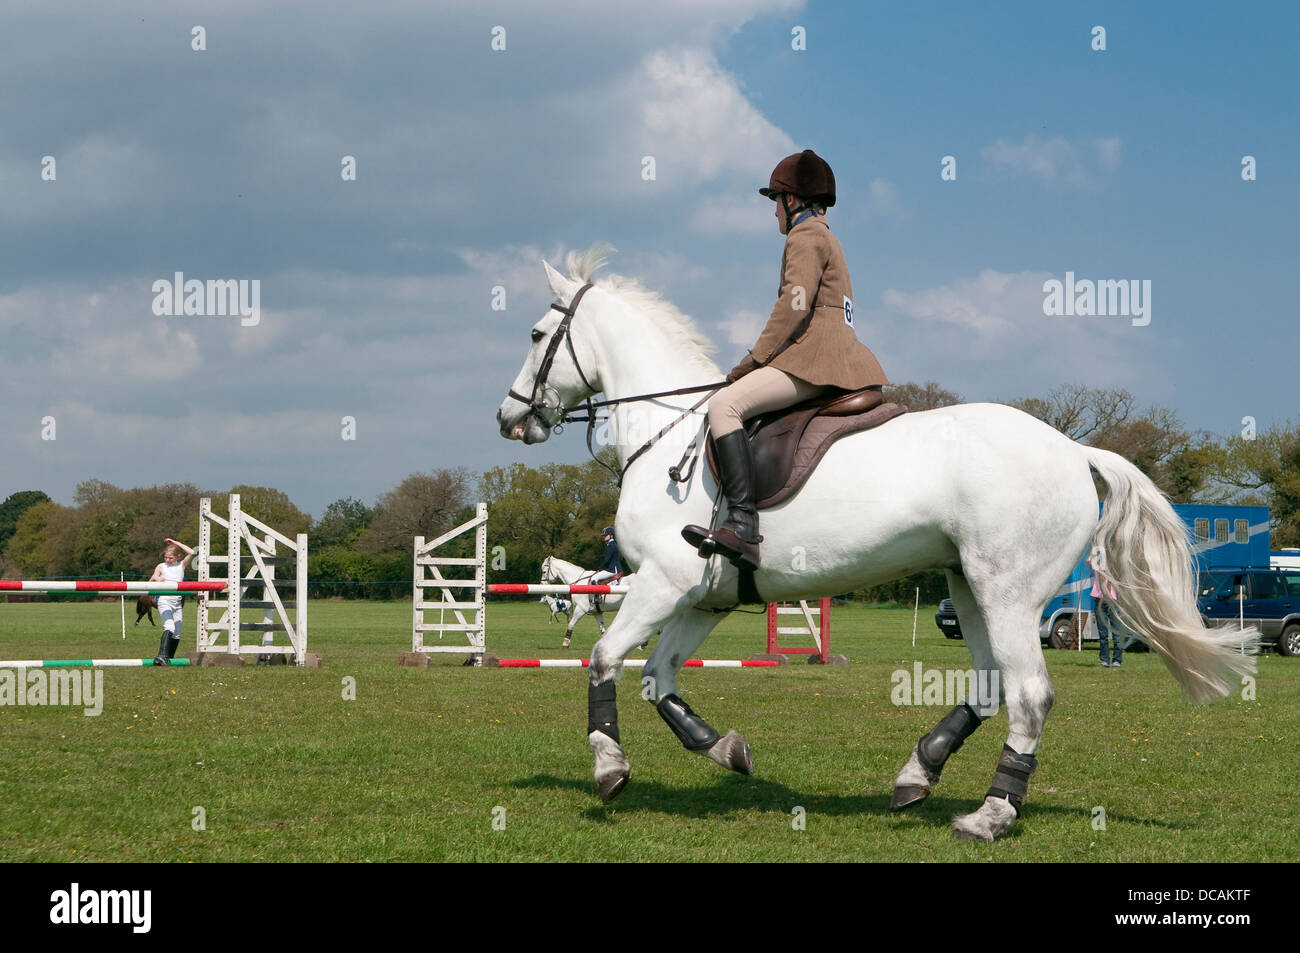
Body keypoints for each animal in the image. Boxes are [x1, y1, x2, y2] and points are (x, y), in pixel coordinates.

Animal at [496, 247, 1258, 842]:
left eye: (535, 334)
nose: (508, 418)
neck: (669, 429)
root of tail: (1074, 449)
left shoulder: (661, 582)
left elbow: (604, 658)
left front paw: (609, 767)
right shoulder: (702, 597)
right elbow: (659, 677)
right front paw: (729, 751)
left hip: (1008, 590)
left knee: (1030, 693)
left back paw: (990, 815)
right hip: (967, 584)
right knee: (988, 684)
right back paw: (916, 774)